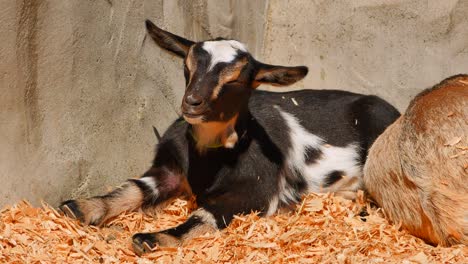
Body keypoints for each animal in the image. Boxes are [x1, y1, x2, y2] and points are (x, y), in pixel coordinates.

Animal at [59, 19, 398, 255]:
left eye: (237, 80)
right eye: (187, 66)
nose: (192, 102)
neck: (210, 160)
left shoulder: (256, 192)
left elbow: (206, 215)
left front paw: (153, 237)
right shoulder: (169, 169)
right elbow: (135, 187)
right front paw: (82, 207)